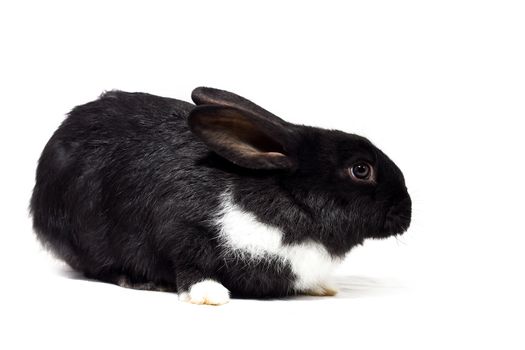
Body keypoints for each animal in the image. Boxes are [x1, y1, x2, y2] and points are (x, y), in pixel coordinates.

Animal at [30, 87, 412, 304]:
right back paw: (137, 280)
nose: (407, 213)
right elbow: (189, 262)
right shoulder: (181, 229)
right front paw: (209, 294)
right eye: (361, 169)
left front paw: (322, 287)